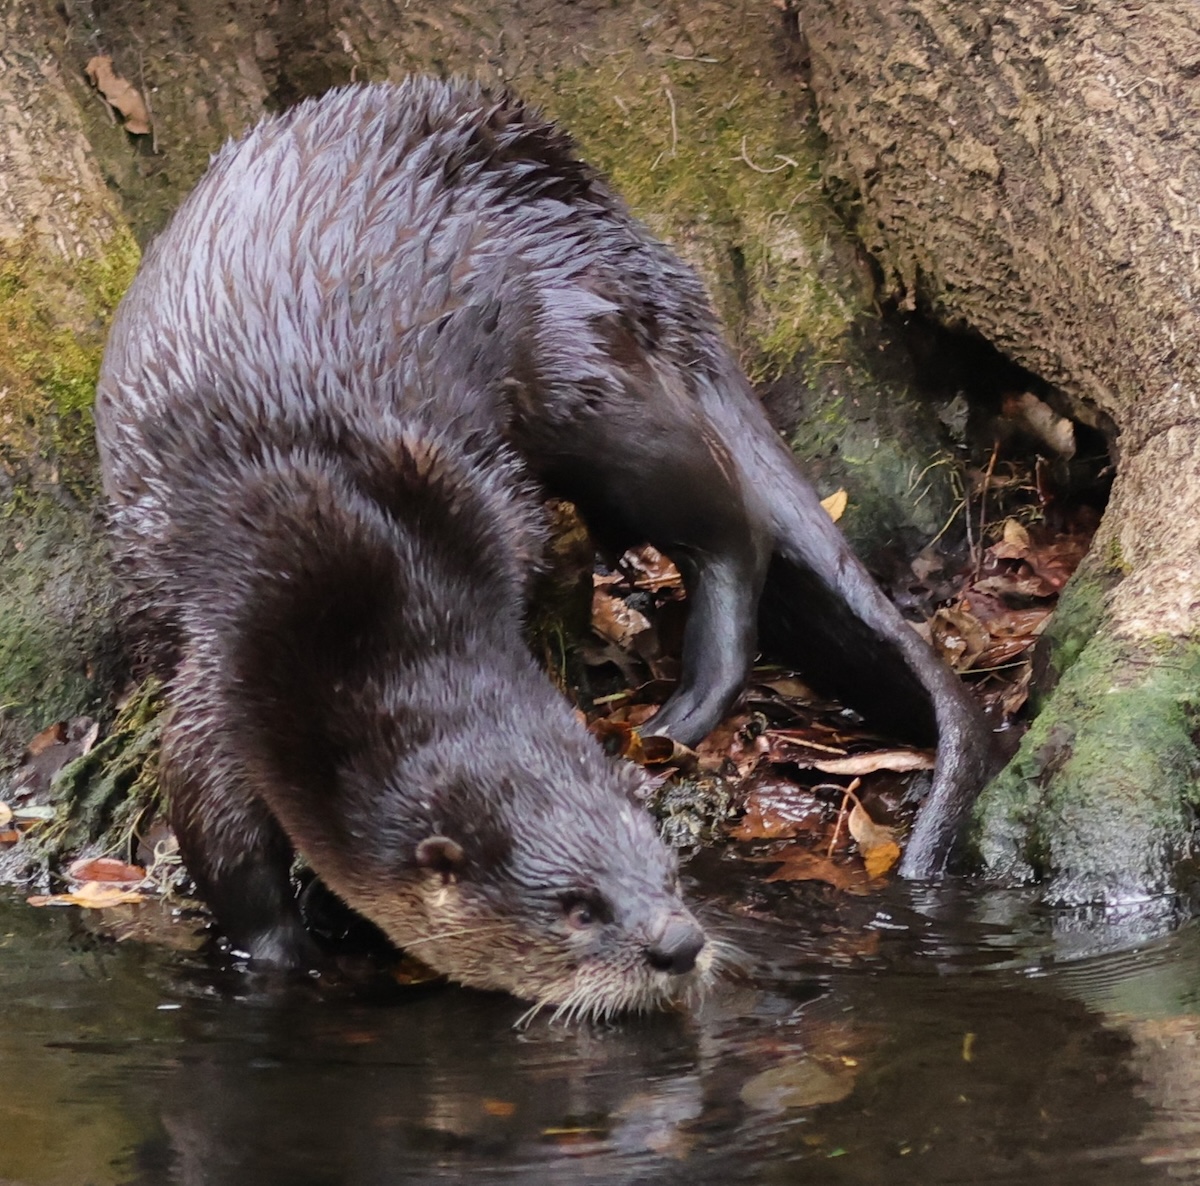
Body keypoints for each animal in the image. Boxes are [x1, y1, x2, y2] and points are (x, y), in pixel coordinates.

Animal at [95, 79, 995, 1007]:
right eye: (578, 907)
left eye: (670, 874)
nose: (679, 940)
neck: (353, 577)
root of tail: (587, 202)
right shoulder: (225, 672)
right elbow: (220, 840)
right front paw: (283, 961)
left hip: (583, 364)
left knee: (727, 523)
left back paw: (684, 707)